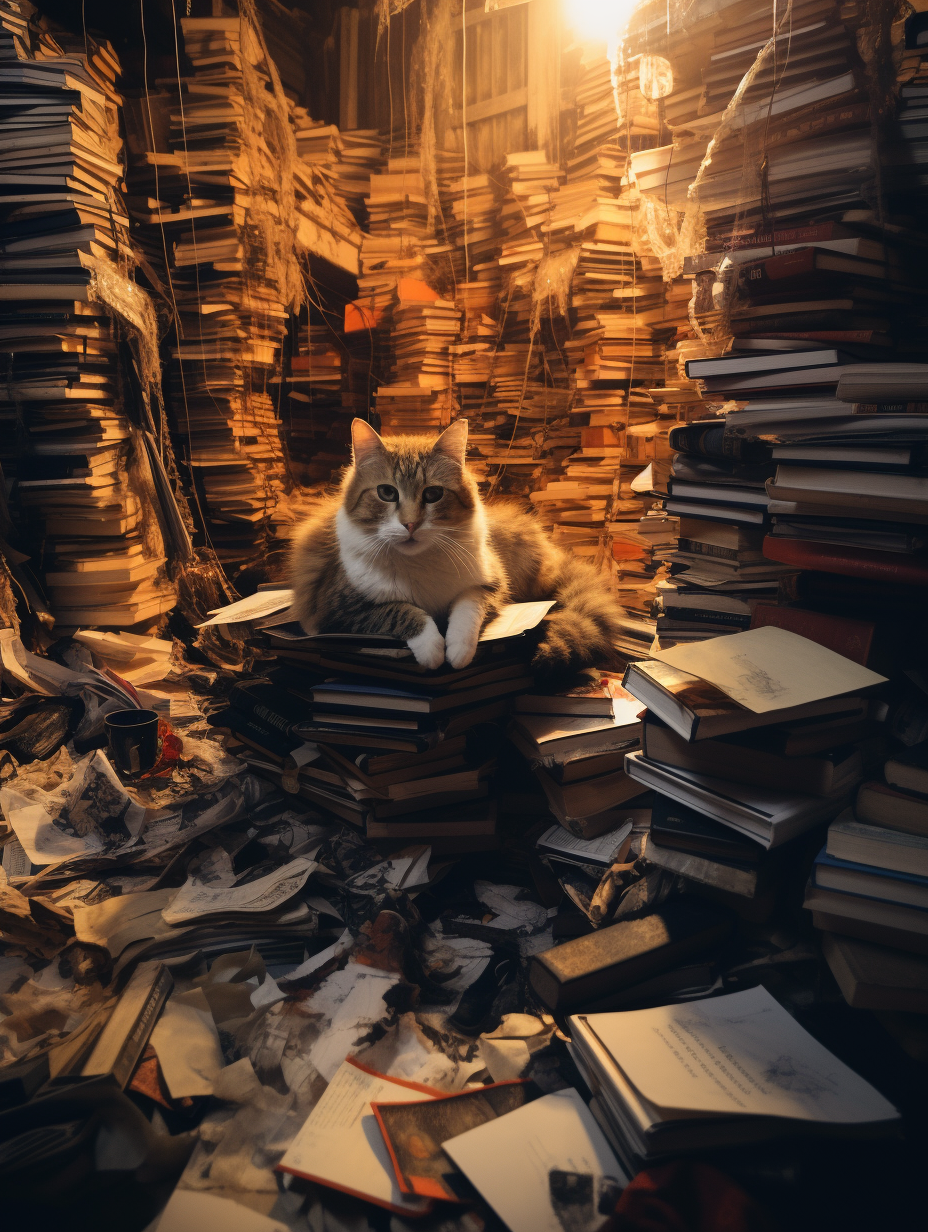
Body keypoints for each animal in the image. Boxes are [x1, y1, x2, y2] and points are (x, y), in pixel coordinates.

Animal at [289, 421, 623, 675]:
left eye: (433, 494)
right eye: (386, 493)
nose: (410, 524)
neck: (419, 562)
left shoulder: (491, 584)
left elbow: (466, 610)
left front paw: (458, 651)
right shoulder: (338, 610)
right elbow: (404, 611)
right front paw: (433, 650)